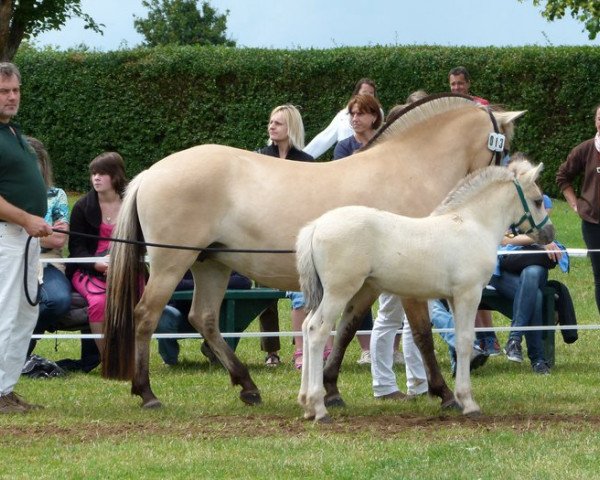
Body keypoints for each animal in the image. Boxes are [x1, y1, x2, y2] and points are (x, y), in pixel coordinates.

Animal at [102, 93, 520, 408]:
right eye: (505, 147)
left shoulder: (365, 282)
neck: (409, 169)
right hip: (172, 263)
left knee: (203, 318)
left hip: (211, 264)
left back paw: (247, 386)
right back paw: (147, 393)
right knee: (146, 315)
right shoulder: (410, 282)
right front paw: (445, 393)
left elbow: (348, 328)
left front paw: (331, 389)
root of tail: (150, 173)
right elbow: (420, 334)